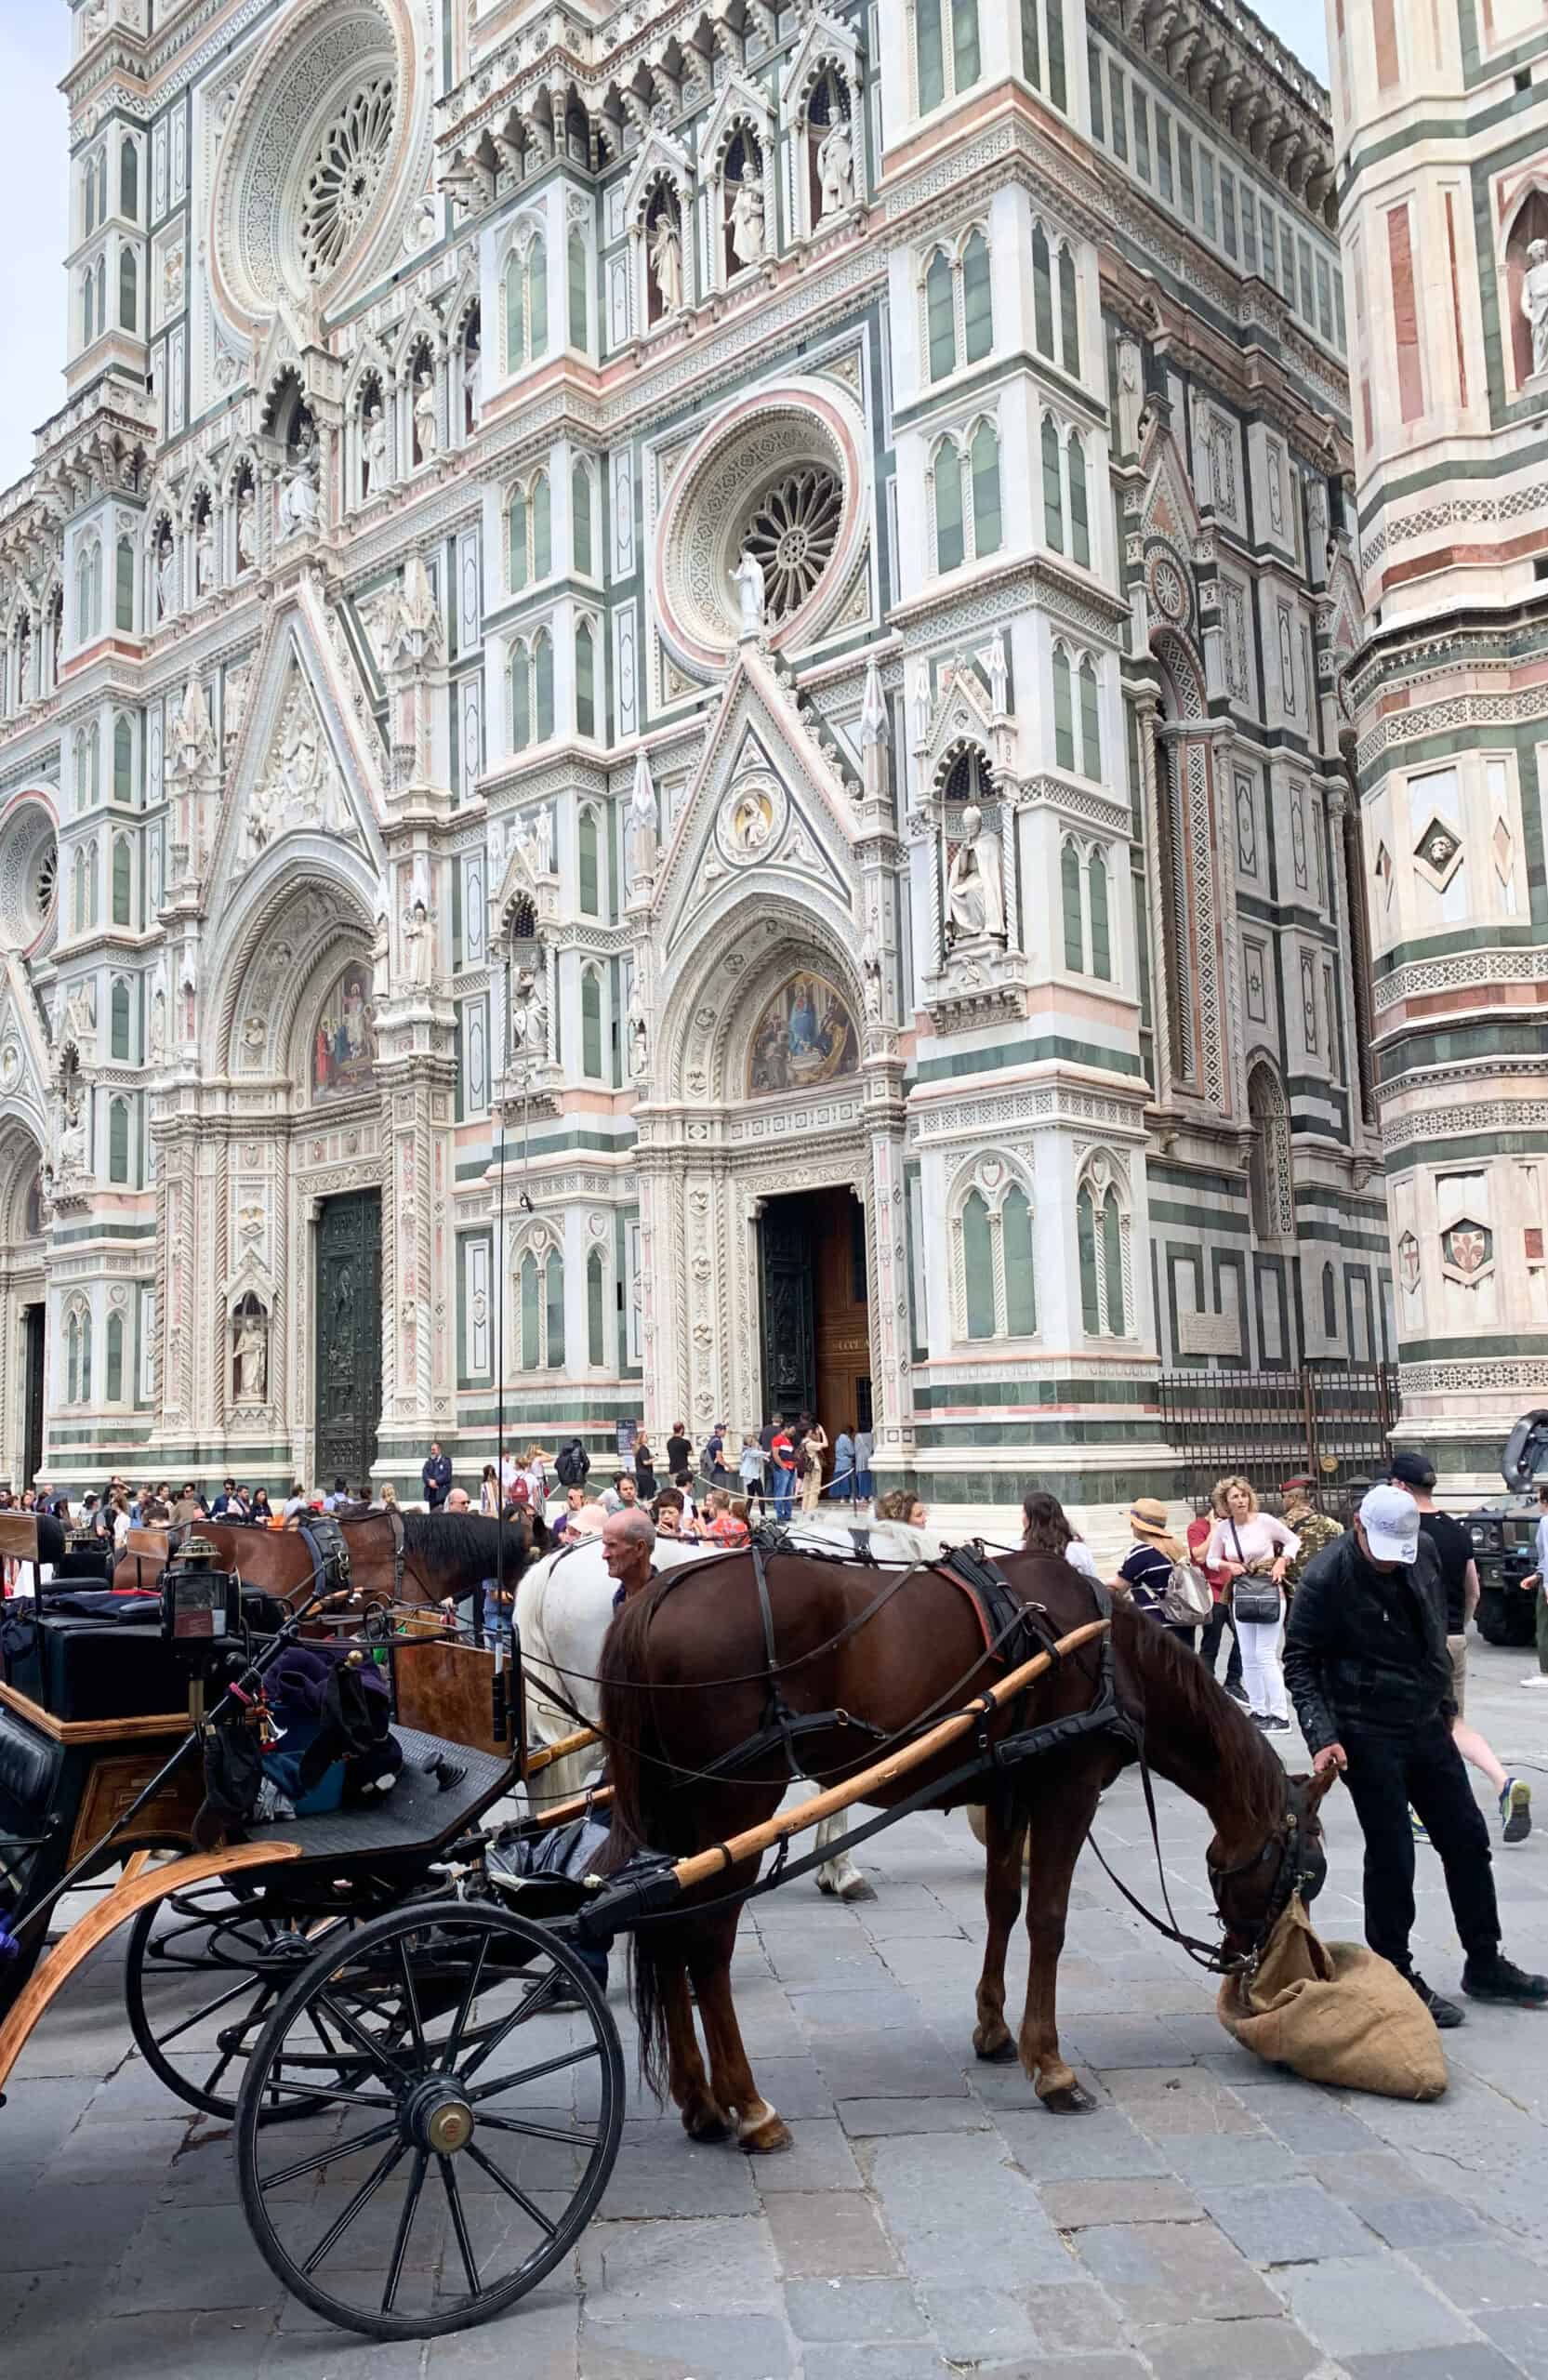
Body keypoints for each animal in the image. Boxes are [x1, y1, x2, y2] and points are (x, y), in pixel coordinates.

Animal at [600, 1552, 1324, 2151]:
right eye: (1308, 1874)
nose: (1248, 1965)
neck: (1110, 1652)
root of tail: (654, 1595)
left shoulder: (1007, 1790)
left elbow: (1002, 1903)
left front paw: (995, 2032)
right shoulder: (1067, 1789)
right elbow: (1048, 1921)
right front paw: (1052, 2069)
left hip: (676, 1818)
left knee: (664, 1937)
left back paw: (700, 2105)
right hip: (734, 1809)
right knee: (705, 1946)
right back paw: (751, 2109)